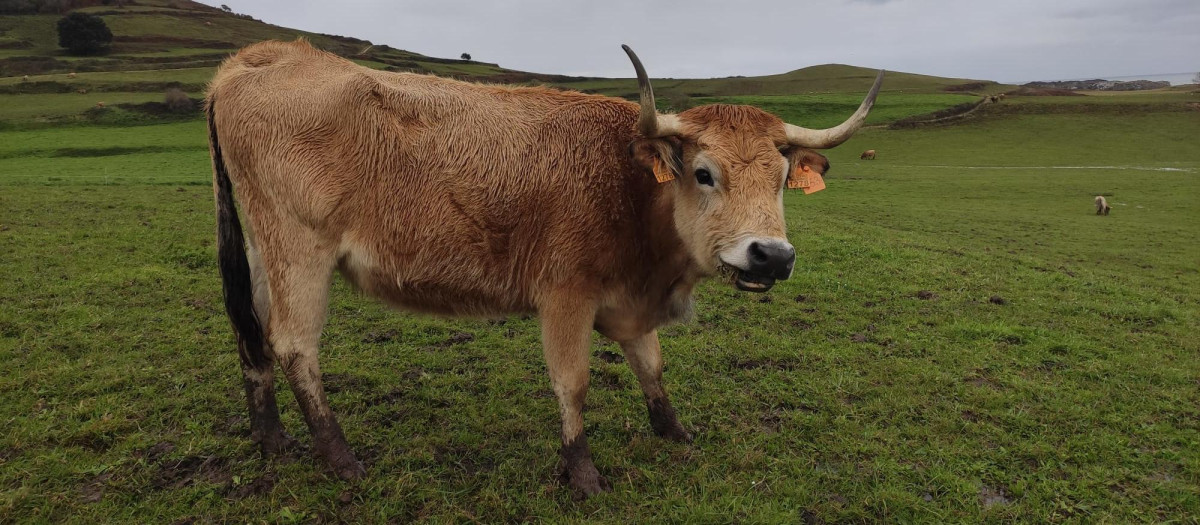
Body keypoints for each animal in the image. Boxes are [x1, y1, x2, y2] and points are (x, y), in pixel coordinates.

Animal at [206, 40, 882, 496]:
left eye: (782, 178)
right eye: (703, 172)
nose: (772, 255)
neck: (628, 181)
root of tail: (262, 59)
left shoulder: (629, 301)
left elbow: (652, 365)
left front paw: (673, 432)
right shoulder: (565, 295)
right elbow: (573, 382)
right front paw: (581, 472)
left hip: (263, 250)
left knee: (252, 334)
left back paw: (272, 439)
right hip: (300, 249)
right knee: (294, 345)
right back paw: (339, 457)